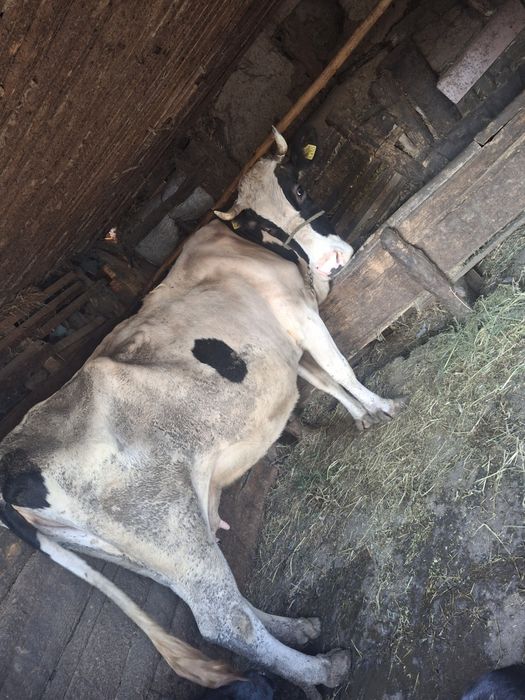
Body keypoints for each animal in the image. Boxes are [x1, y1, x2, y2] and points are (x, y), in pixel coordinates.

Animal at [0, 127, 405, 696]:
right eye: (298, 190)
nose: (334, 261)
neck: (253, 246)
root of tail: (11, 457)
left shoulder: (284, 339)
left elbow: (323, 378)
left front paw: (362, 416)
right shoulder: (298, 313)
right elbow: (339, 366)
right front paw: (383, 408)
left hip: (135, 551)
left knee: (223, 602)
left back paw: (296, 627)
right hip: (168, 525)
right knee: (222, 621)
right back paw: (323, 666)